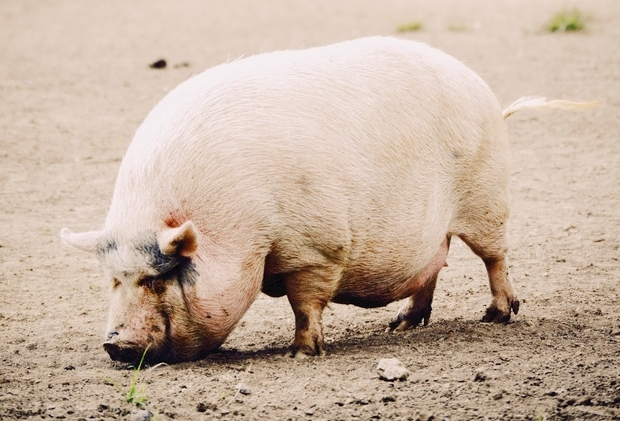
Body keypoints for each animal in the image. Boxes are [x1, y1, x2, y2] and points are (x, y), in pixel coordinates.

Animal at [59, 36, 588, 362]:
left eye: (155, 280)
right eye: (113, 280)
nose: (115, 345)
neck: (240, 233)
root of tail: (489, 98)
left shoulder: (315, 248)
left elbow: (305, 302)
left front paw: (300, 353)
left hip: (487, 199)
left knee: (493, 256)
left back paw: (496, 316)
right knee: (432, 267)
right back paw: (401, 326)